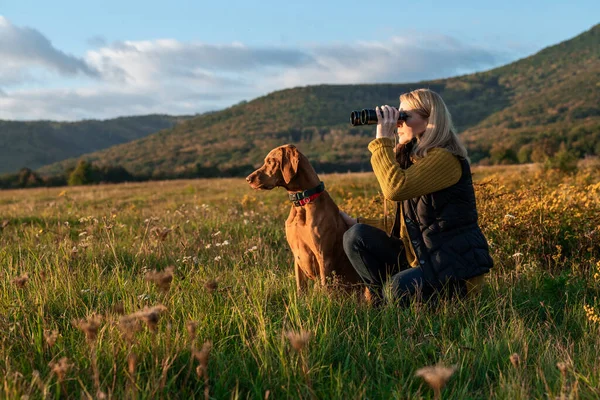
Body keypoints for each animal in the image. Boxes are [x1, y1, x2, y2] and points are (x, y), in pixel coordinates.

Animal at [245, 145, 360, 294]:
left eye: (270, 161)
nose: (248, 179)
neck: (302, 202)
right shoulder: (297, 256)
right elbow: (300, 288)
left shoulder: (323, 256)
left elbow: (325, 288)